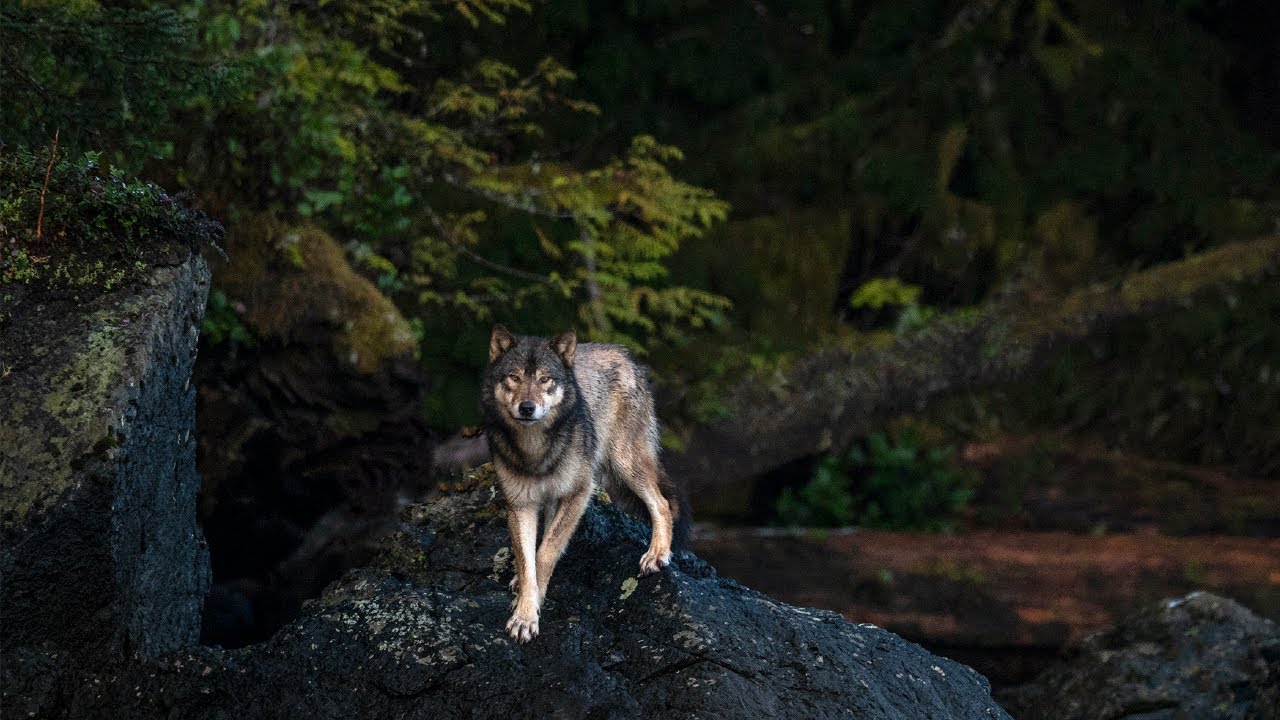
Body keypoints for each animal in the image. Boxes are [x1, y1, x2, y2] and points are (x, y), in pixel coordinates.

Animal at [482, 325, 685, 643]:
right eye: (514, 377)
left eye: (544, 379)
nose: (527, 408)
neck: (536, 450)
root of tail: (625, 355)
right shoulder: (521, 505)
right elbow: (529, 561)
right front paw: (524, 612)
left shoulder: (579, 493)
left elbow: (546, 555)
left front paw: (530, 611)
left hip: (625, 464)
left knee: (662, 503)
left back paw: (657, 555)